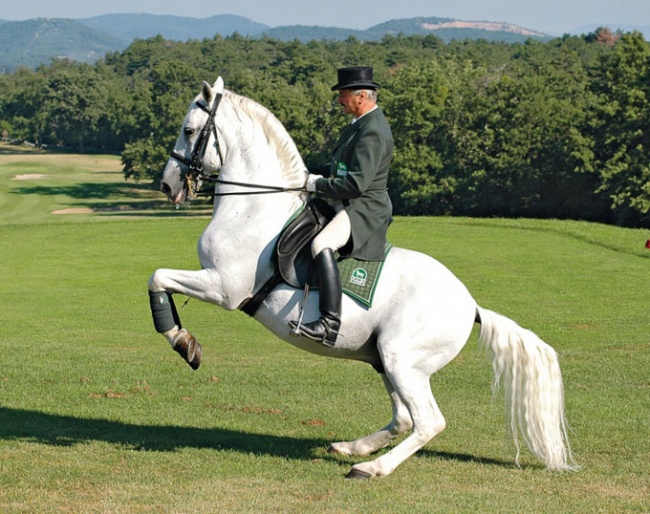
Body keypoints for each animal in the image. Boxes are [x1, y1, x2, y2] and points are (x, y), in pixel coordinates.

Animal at [148, 76, 576, 476]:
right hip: (385, 360)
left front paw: (184, 343)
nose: (168, 185)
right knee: (403, 419)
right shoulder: (218, 283)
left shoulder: (222, 286)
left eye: (189, 130)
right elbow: (159, 279)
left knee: (428, 422)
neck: (253, 208)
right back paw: (352, 448)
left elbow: (157, 278)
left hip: (402, 360)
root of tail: (470, 305)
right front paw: (186, 342)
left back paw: (372, 468)